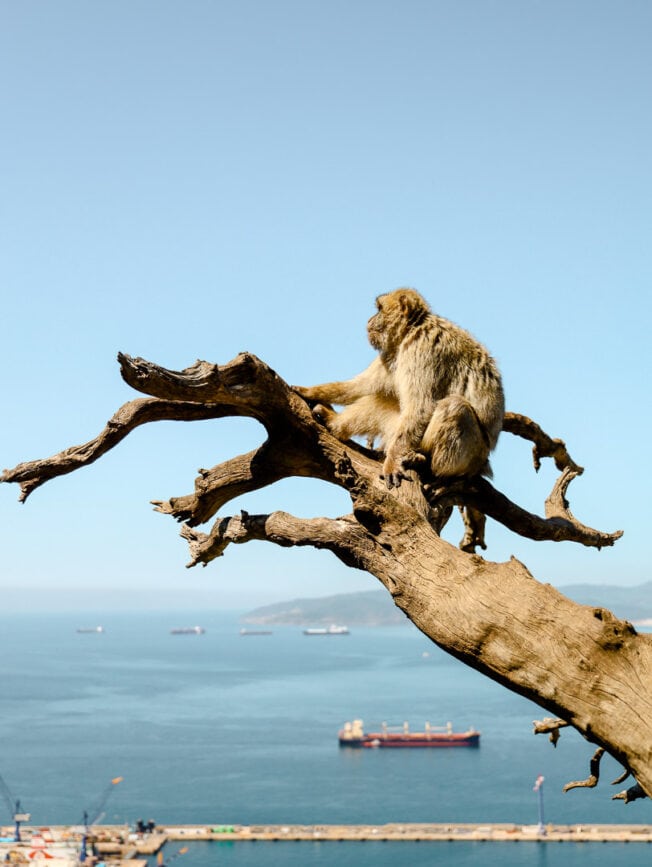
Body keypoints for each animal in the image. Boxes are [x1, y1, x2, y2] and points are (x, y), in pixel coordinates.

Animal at [295, 288, 505, 490]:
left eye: (379, 309)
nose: (369, 320)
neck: (413, 329)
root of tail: (484, 462)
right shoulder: (392, 353)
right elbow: (361, 386)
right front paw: (309, 391)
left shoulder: (421, 350)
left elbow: (421, 407)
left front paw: (392, 464)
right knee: (380, 400)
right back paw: (334, 423)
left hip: (472, 455)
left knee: (455, 406)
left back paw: (425, 463)